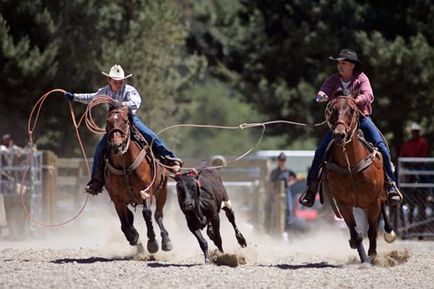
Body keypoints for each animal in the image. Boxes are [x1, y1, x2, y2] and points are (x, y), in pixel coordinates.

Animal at [104, 103, 172, 252]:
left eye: (125, 121)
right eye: (108, 122)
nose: (116, 146)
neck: (125, 167)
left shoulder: (146, 191)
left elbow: (147, 213)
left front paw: (152, 242)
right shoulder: (117, 199)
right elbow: (125, 222)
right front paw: (134, 237)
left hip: (162, 191)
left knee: (158, 215)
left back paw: (166, 241)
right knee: (129, 218)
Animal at [324, 95, 396, 264]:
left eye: (352, 110)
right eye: (333, 110)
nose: (339, 134)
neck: (351, 166)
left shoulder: (373, 202)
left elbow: (372, 230)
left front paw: (372, 254)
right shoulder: (343, 204)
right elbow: (355, 233)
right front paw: (364, 258)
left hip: (379, 197)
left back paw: (389, 233)